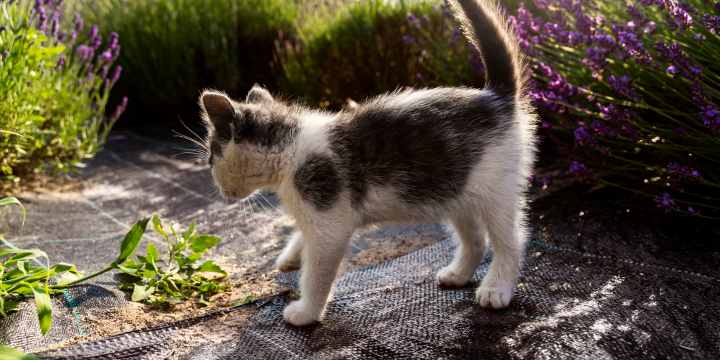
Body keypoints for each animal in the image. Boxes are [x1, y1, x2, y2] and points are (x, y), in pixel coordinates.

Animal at [197, 0, 536, 326]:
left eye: (211, 156)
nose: (217, 186)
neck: (290, 148)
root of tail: (494, 96)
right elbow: (302, 236)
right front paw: (291, 255)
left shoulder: (329, 222)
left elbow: (317, 272)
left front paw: (306, 312)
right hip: (455, 187)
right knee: (475, 238)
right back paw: (458, 274)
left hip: (496, 188)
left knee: (511, 240)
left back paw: (496, 288)